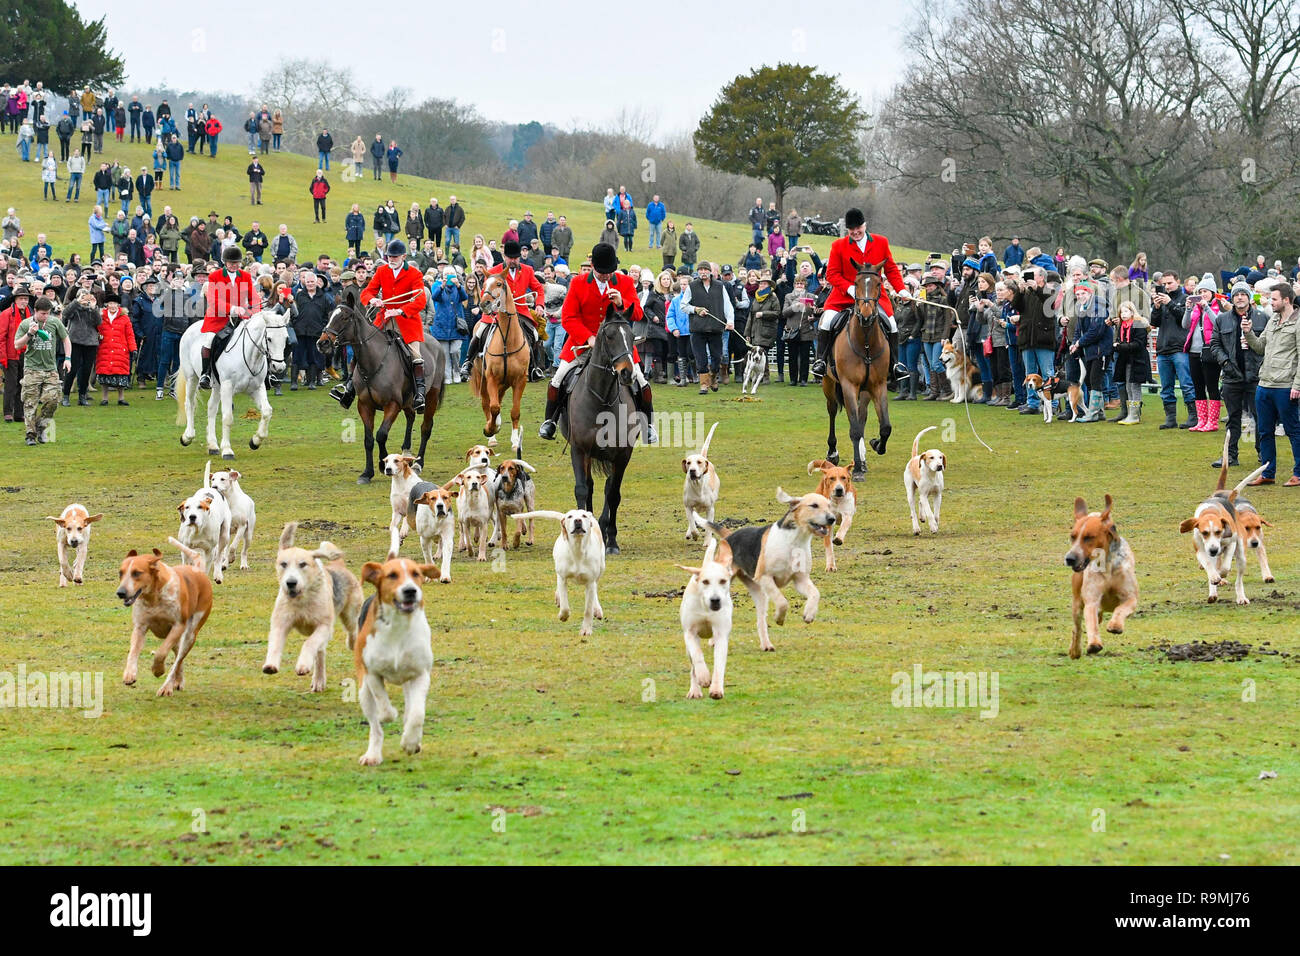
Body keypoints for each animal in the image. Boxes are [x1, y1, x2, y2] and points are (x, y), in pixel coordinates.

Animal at [318, 306, 447, 486]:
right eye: (330, 315)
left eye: (344, 318)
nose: (322, 343)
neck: (374, 360)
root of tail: (436, 343)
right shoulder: (365, 405)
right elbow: (368, 439)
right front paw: (367, 473)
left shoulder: (392, 405)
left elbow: (381, 435)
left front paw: (382, 463)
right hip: (408, 400)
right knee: (411, 417)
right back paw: (406, 453)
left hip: (431, 397)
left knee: (425, 428)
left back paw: (418, 463)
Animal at [470, 273, 530, 460]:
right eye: (484, 284)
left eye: (498, 284)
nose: (484, 304)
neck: (507, 341)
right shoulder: (491, 378)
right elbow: (493, 407)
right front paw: (490, 429)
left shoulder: (520, 380)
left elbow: (515, 411)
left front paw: (515, 441)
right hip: (485, 383)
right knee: (488, 405)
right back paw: (492, 435)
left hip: (503, 384)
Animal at [559, 306, 639, 556]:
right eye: (610, 336)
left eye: (632, 336)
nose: (627, 374)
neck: (601, 398)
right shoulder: (579, 450)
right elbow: (582, 489)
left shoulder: (622, 455)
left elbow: (613, 494)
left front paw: (611, 540)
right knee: (592, 486)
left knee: (608, 488)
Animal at [821, 261, 894, 481]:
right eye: (855, 283)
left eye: (879, 283)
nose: (867, 315)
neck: (866, 341)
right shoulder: (848, 385)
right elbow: (853, 429)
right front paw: (858, 470)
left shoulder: (878, 386)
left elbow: (885, 427)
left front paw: (876, 445)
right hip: (829, 384)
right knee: (833, 411)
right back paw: (833, 453)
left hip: (864, 392)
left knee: (861, 418)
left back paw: (862, 457)